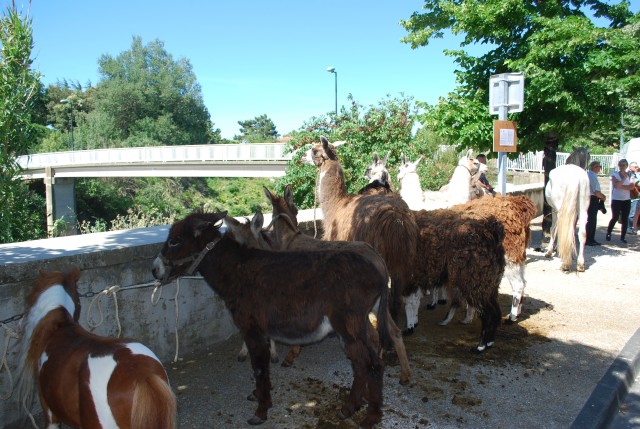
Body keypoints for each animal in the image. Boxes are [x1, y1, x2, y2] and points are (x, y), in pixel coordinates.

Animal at [154, 211, 396, 428]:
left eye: (174, 241)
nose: (155, 270)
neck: (237, 271)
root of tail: (380, 271)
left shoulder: (252, 330)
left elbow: (259, 368)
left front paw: (260, 412)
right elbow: (262, 368)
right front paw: (260, 399)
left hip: (349, 326)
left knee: (367, 363)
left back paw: (363, 415)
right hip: (356, 326)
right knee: (369, 362)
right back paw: (359, 412)